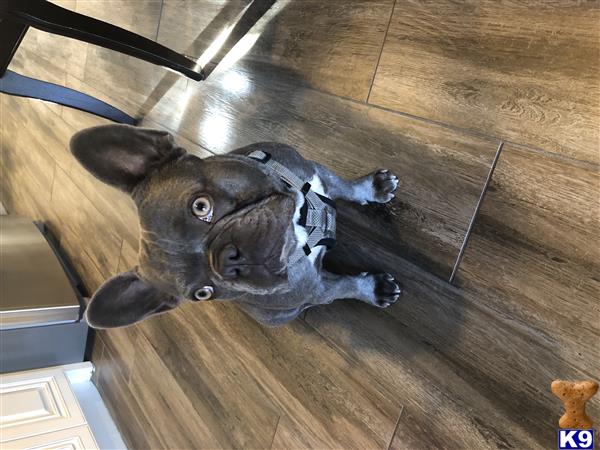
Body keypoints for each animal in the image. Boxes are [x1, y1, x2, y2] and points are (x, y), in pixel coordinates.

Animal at [70, 125, 400, 328]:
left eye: (201, 206)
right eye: (204, 293)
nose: (228, 260)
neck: (303, 223)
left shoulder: (315, 171)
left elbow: (345, 187)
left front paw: (372, 187)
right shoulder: (316, 289)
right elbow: (344, 287)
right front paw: (373, 289)